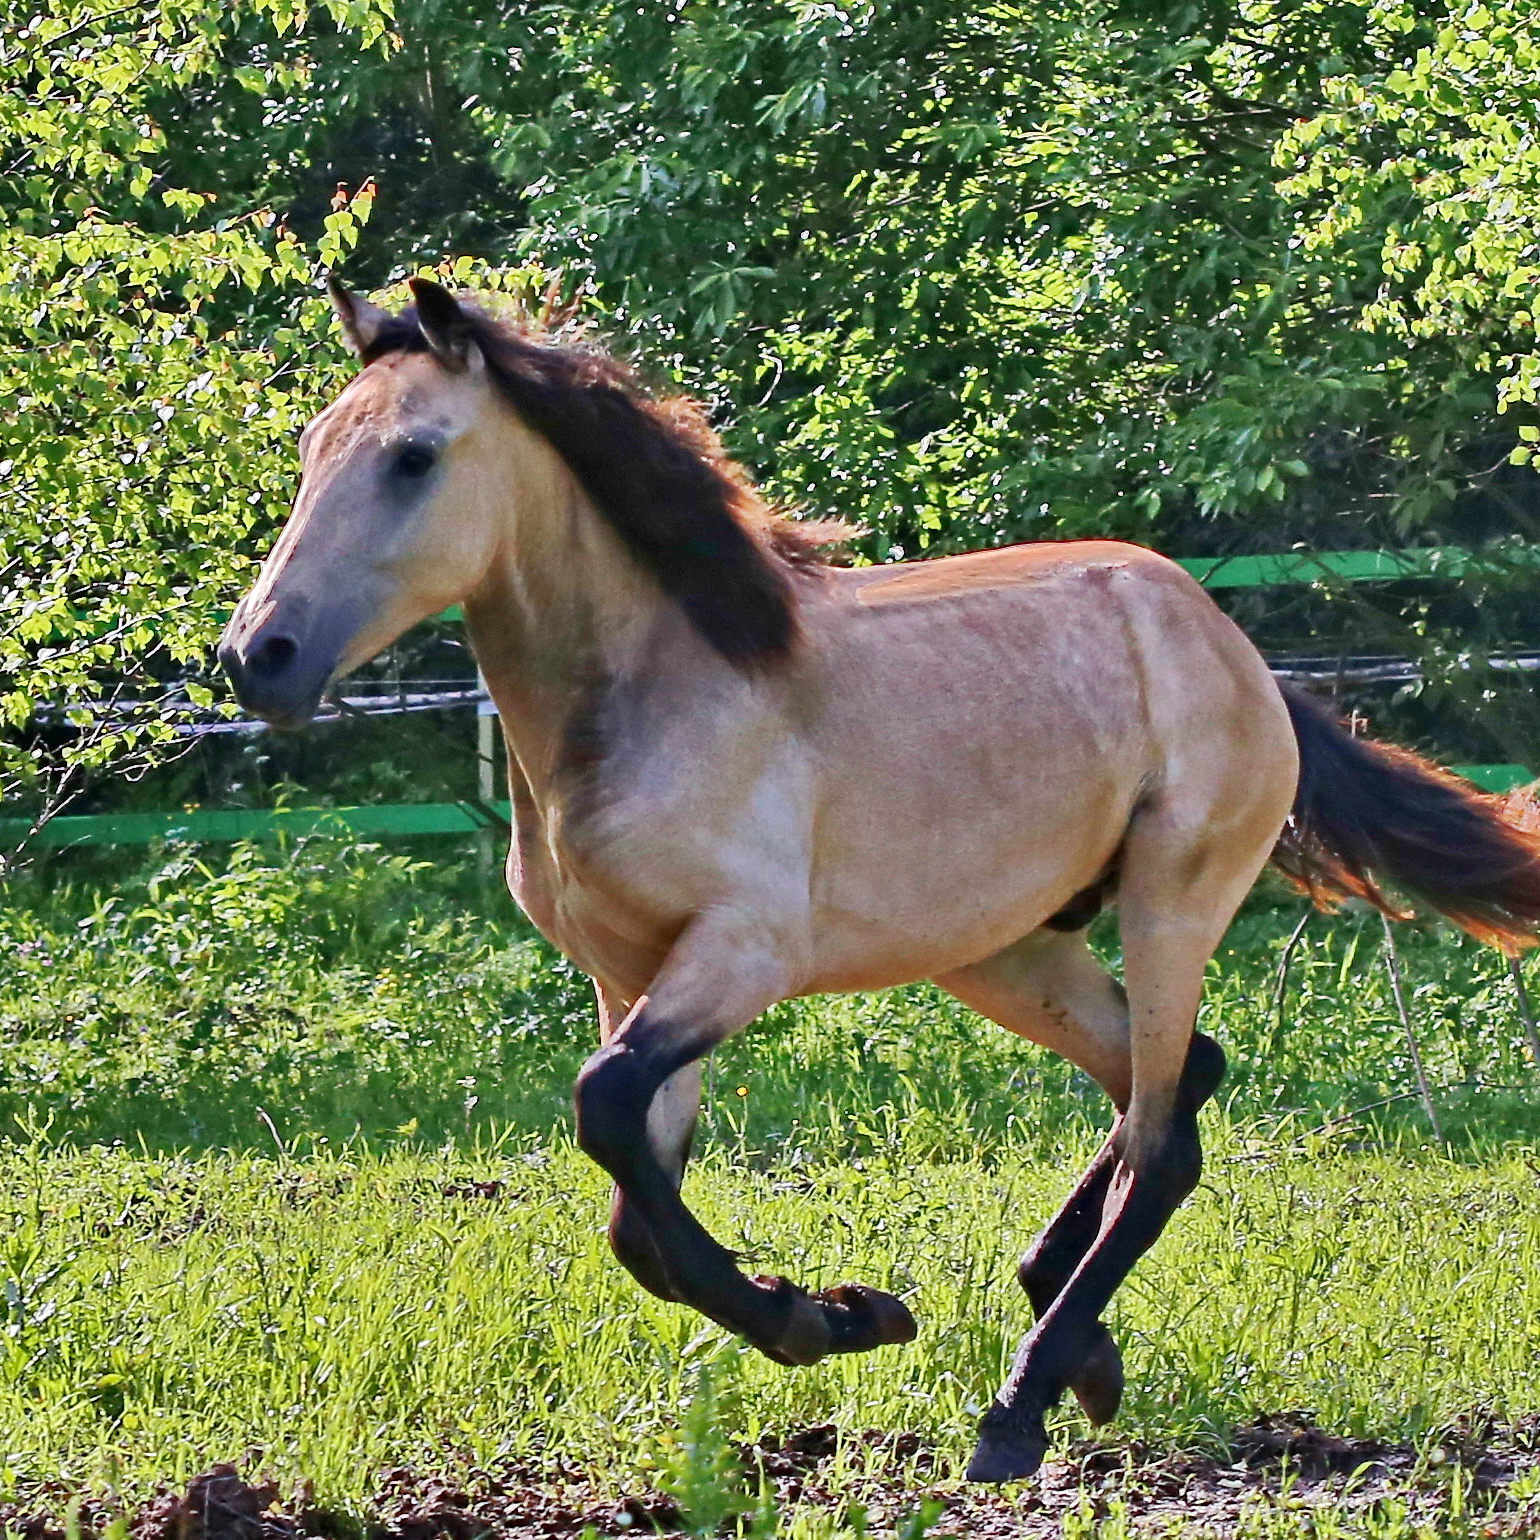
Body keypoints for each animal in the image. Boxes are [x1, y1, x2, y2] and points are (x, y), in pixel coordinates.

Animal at [220, 280, 1540, 1478]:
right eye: (310, 449)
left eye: (413, 457)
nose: (256, 657)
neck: (657, 696)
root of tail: (1242, 655)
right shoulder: (629, 975)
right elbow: (634, 1210)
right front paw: (844, 1312)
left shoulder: (739, 953)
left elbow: (604, 1110)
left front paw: (828, 1318)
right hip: (1008, 949)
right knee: (1167, 1084)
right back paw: (1078, 1343)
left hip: (1172, 897)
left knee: (1164, 1137)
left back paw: (1017, 1407)